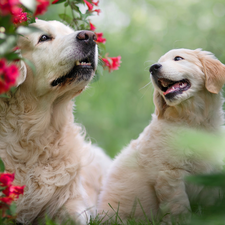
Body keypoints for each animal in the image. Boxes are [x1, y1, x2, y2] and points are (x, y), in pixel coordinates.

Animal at [97, 48, 225, 223]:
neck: (192, 119)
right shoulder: (169, 174)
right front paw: (182, 221)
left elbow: (211, 201)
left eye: (178, 58)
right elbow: (179, 206)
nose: (153, 68)